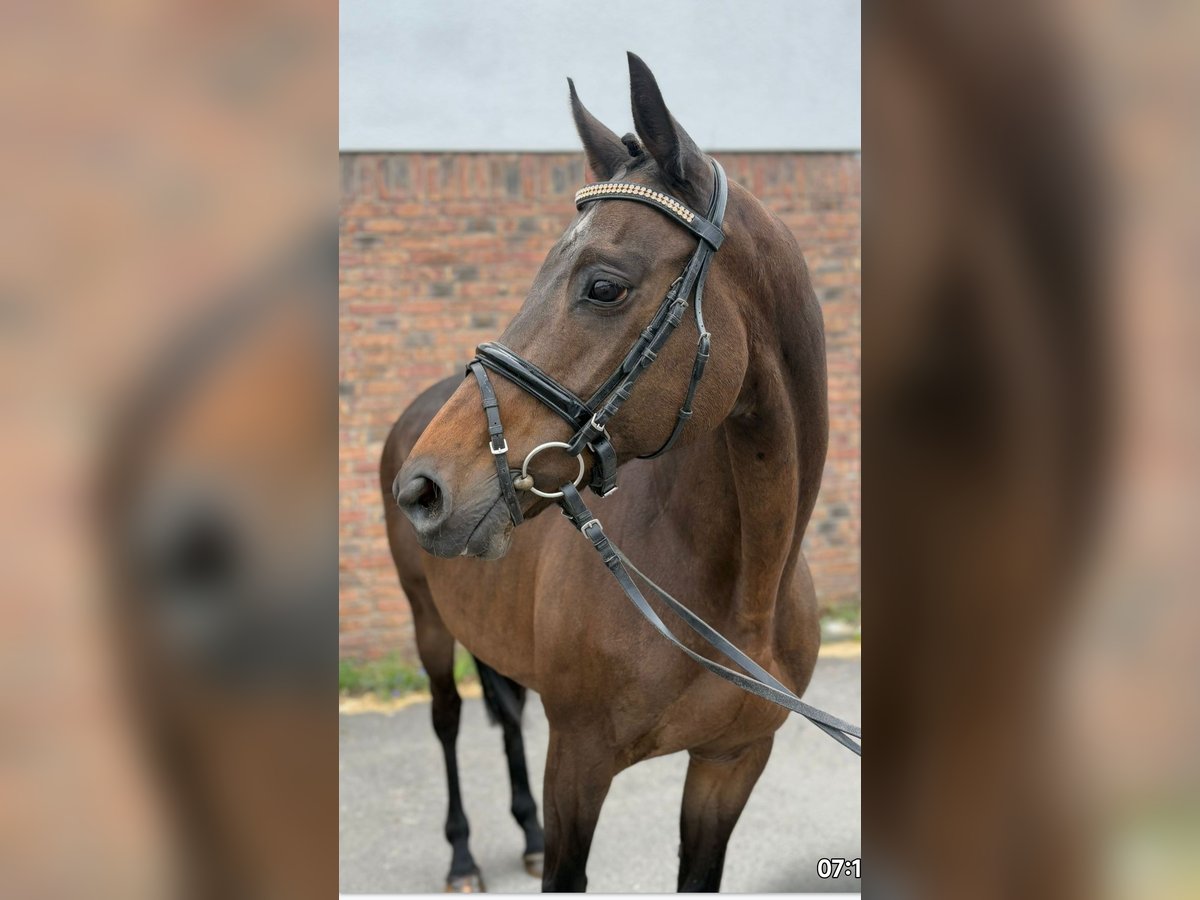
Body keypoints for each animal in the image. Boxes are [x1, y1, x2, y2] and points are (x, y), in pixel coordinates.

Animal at [382, 53, 832, 892]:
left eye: (603, 285)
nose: (423, 491)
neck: (739, 597)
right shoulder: (579, 767)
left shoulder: (730, 765)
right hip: (428, 625)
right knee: (449, 719)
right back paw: (462, 855)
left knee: (505, 712)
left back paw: (520, 831)